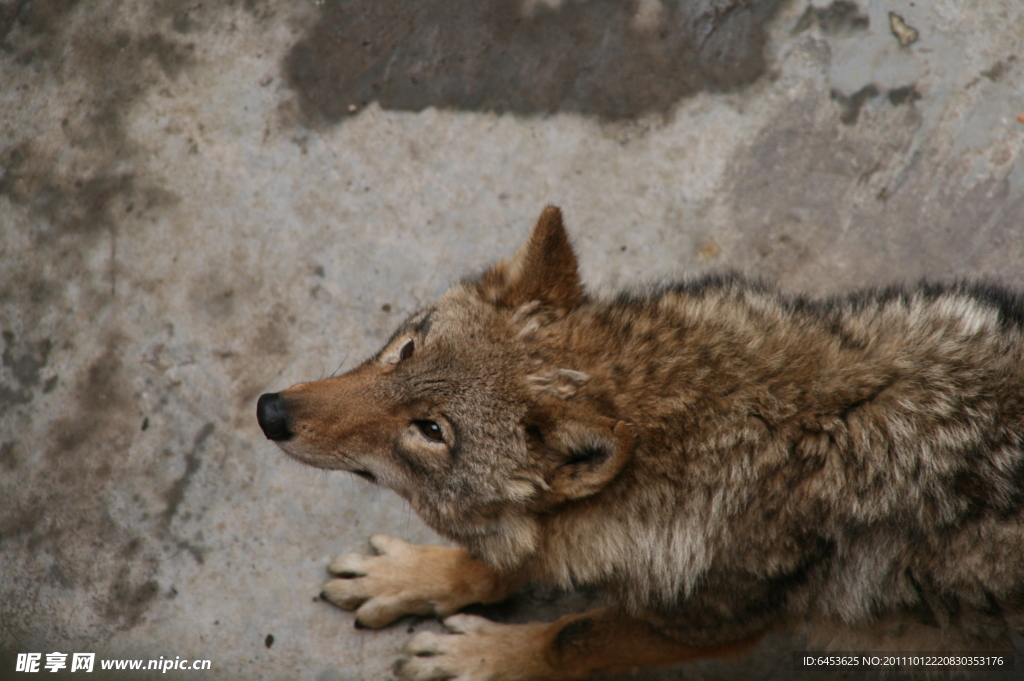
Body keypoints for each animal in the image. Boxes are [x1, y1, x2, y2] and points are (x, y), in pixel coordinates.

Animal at [256, 208, 1024, 679]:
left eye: (432, 430)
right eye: (406, 349)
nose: (270, 411)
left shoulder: (711, 623)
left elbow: (574, 634)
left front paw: (488, 656)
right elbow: (504, 558)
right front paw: (414, 577)